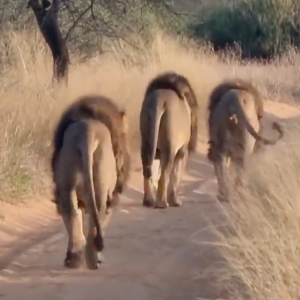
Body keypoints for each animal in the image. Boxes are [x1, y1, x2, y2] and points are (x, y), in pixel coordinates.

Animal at [51, 95, 131, 270]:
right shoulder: (112, 196)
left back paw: (73, 259)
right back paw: (93, 259)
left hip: (67, 184)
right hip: (102, 188)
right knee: (96, 220)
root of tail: (87, 130)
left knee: (72, 213)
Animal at [140, 71, 199, 209]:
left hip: (146, 141)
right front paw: (175, 201)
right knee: (164, 175)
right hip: (169, 147)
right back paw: (161, 203)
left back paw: (148, 200)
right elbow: (175, 176)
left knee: (147, 169)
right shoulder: (183, 151)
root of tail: (159, 100)